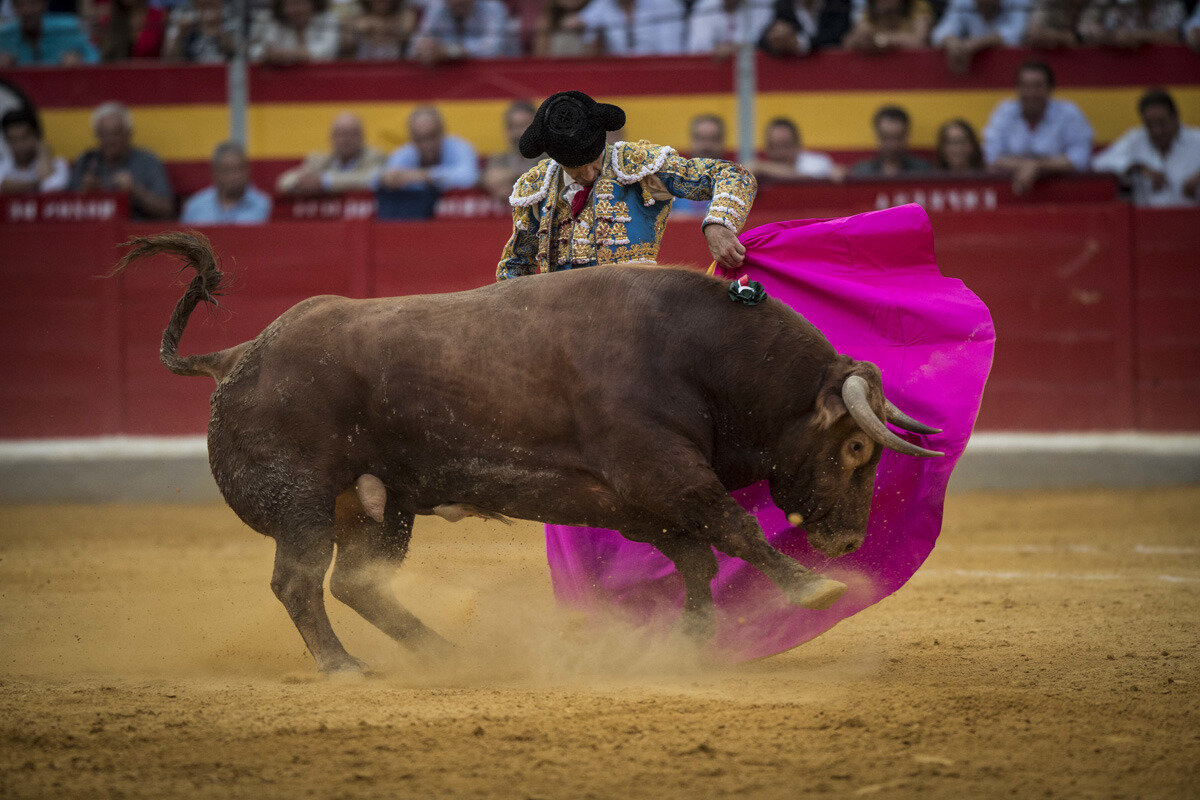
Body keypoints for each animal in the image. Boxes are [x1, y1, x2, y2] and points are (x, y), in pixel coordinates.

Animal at [112, 232, 940, 676]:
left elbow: (697, 560)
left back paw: (445, 654)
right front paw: (816, 590)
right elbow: (732, 530)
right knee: (299, 582)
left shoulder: (637, 500)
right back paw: (344, 666)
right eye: (857, 444)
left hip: (380, 506)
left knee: (357, 582)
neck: (703, 356)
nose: (849, 542)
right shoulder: (663, 472)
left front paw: (690, 644)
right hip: (303, 502)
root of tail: (236, 356)